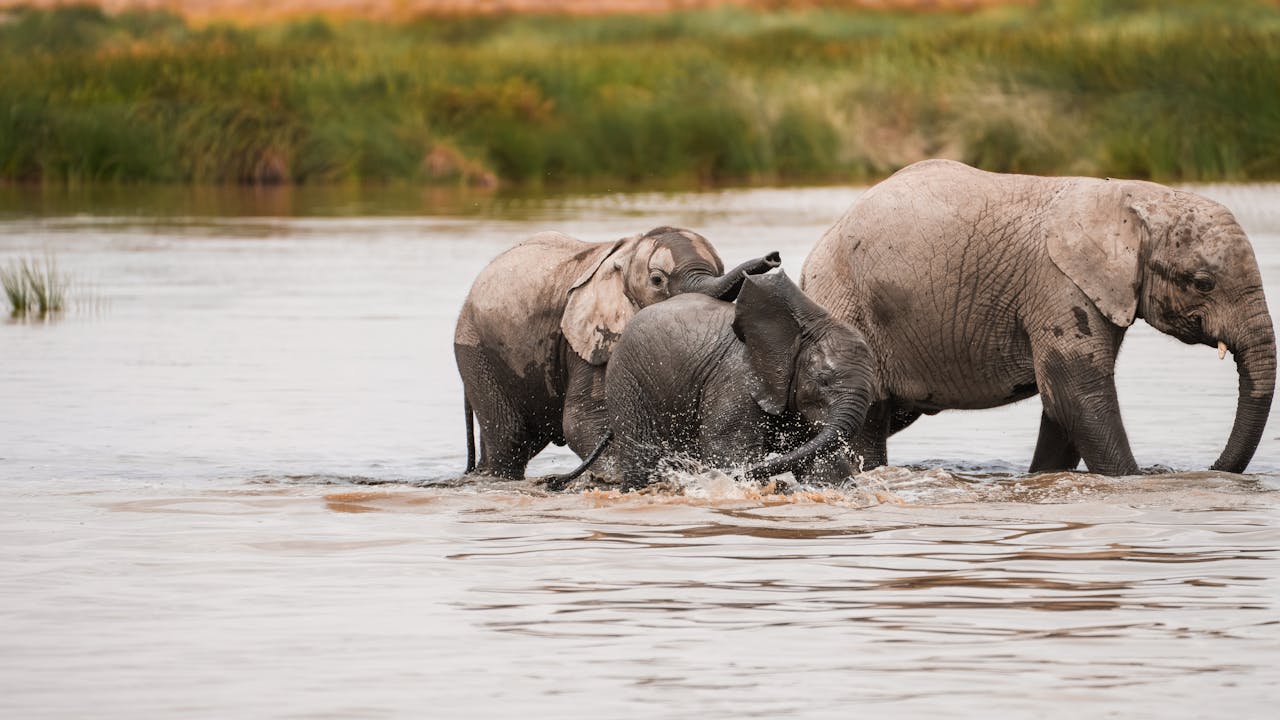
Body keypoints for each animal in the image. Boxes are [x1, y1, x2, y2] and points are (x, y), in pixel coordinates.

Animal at [455, 226, 780, 479]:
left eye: (720, 272)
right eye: (657, 280)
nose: (773, 257)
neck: (626, 254)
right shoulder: (589, 339)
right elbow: (582, 419)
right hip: (475, 350)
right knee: (510, 440)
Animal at [599, 272, 875, 490]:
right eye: (824, 381)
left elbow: (822, 459)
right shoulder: (737, 381)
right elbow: (729, 452)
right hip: (628, 384)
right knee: (642, 460)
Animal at [800, 158, 1276, 476]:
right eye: (1203, 283)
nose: (1210, 470)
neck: (1132, 199)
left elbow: (1062, 406)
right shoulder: (1058, 285)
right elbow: (1077, 395)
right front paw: (1136, 480)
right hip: (847, 302)